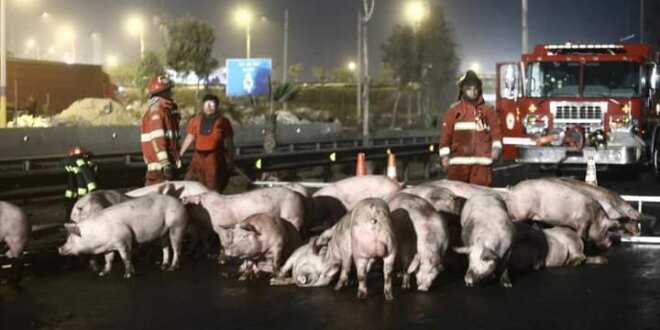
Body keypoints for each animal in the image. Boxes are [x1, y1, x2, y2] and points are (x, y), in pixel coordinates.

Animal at [58, 195, 189, 278]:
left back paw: (171, 269)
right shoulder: (109, 247)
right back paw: (163, 266)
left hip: (177, 226)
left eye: (71, 238)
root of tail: (179, 202)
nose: (59, 248)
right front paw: (102, 273)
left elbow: (125, 257)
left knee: (177, 249)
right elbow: (108, 259)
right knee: (165, 247)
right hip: (163, 232)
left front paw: (127, 276)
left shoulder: (124, 239)